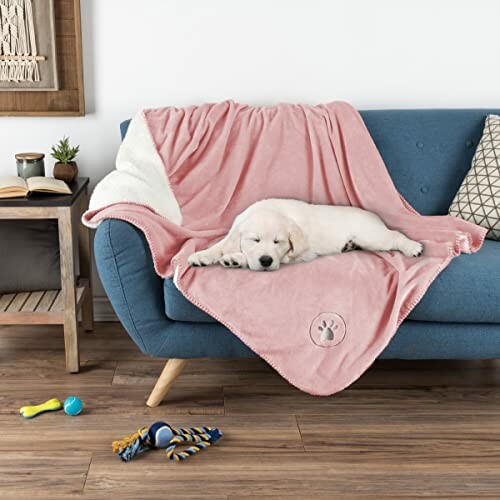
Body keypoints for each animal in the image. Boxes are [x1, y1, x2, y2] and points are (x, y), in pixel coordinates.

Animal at [188, 198, 422, 272]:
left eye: (278, 242)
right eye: (255, 240)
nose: (266, 261)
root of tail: (374, 215)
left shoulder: (300, 254)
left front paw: (235, 259)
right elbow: (220, 245)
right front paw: (202, 255)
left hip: (372, 236)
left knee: (396, 235)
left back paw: (413, 247)